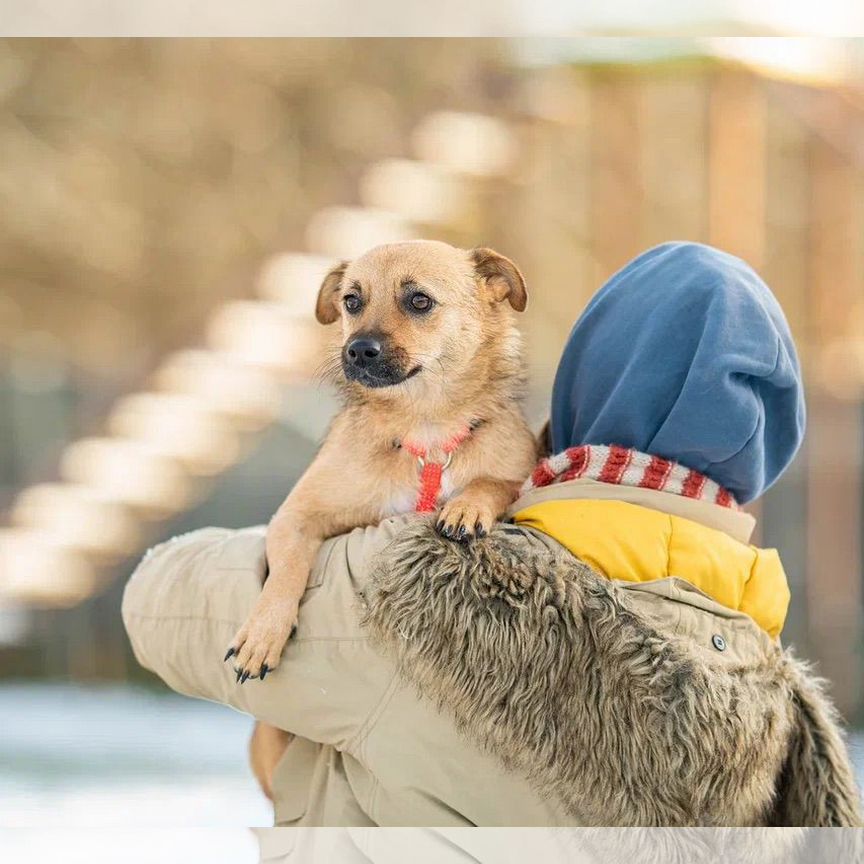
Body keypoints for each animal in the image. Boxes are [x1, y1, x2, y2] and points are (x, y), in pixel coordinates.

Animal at [226, 241, 536, 680]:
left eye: (420, 300)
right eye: (351, 301)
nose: (357, 350)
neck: (425, 427)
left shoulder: (516, 469)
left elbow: (494, 482)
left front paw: (467, 506)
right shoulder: (294, 516)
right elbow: (287, 569)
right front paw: (261, 634)